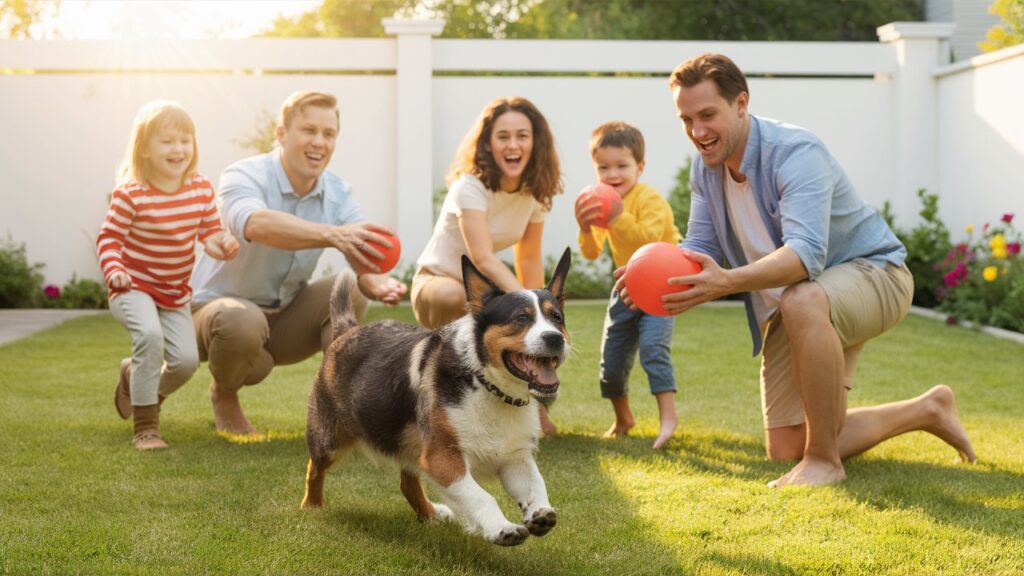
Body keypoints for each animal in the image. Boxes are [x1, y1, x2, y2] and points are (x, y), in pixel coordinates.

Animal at [299, 247, 573, 541]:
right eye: (521, 318)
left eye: (557, 318)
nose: (555, 338)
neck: (488, 386)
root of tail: (346, 329)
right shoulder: (442, 457)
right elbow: (482, 497)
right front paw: (501, 528)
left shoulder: (515, 457)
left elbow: (535, 483)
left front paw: (540, 513)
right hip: (329, 440)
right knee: (314, 468)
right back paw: (312, 506)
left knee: (407, 483)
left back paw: (430, 515)